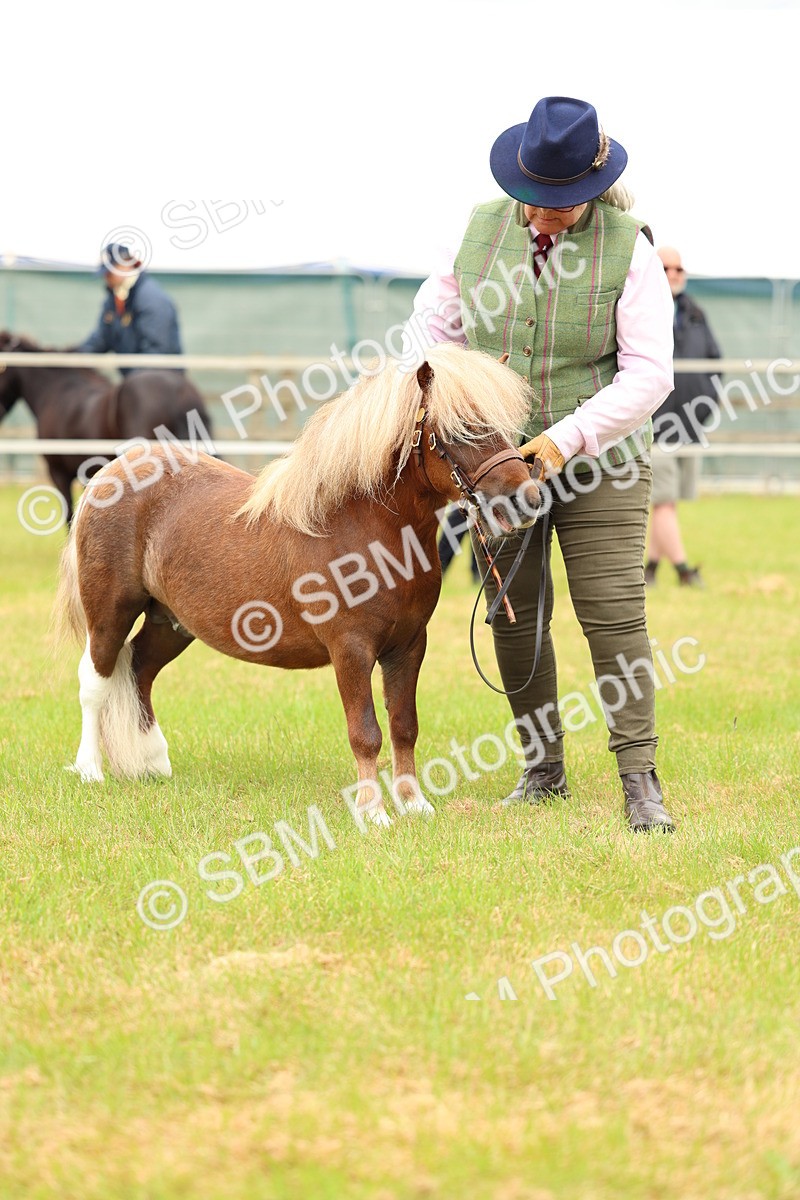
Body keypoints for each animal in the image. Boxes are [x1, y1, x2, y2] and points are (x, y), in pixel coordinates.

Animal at [53, 343, 541, 825]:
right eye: (462, 430)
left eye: (507, 427)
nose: (529, 500)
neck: (363, 526)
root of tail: (111, 473)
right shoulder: (351, 649)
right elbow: (366, 732)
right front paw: (373, 812)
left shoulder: (409, 645)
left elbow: (405, 725)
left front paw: (414, 803)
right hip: (110, 611)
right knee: (95, 680)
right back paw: (90, 770)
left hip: (170, 621)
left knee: (139, 671)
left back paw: (151, 764)